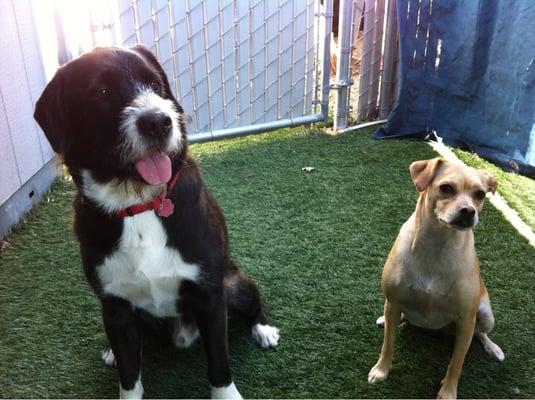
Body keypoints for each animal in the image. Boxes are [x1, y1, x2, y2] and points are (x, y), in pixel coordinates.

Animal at [33, 45, 280, 398]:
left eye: (155, 85)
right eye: (102, 92)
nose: (159, 122)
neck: (137, 204)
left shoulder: (210, 296)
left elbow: (219, 362)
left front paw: (227, 393)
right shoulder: (115, 307)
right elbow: (129, 374)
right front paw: (121, 369)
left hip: (233, 284)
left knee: (253, 300)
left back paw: (264, 329)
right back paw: (109, 351)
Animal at [368, 158, 506, 398]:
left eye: (480, 194)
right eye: (446, 188)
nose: (468, 211)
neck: (437, 244)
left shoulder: (466, 320)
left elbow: (456, 363)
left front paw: (448, 391)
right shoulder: (393, 301)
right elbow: (388, 344)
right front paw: (381, 370)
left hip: (486, 316)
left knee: (480, 333)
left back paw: (492, 348)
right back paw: (385, 320)